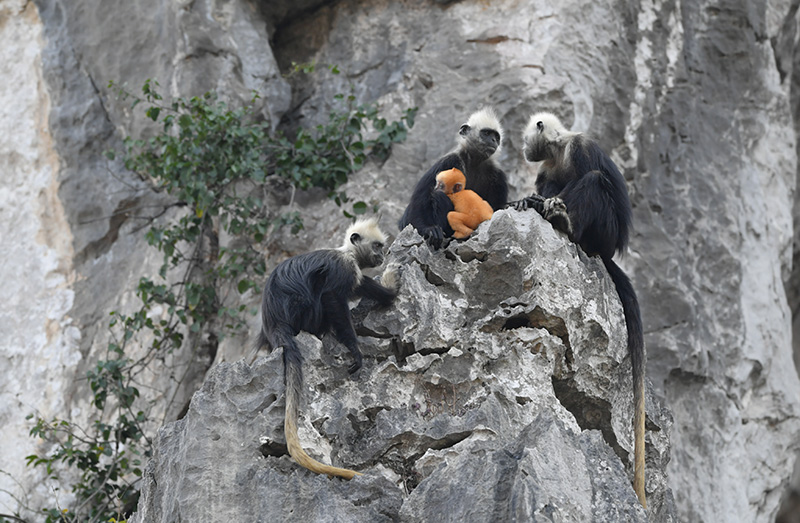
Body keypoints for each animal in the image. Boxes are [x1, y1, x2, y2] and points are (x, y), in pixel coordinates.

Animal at [256, 217, 400, 478]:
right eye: (377, 246)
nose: (382, 256)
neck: (347, 252)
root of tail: (275, 324)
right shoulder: (344, 269)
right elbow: (332, 296)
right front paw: (354, 349)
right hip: (303, 311)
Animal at [398, 107, 510, 249]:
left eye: (496, 136)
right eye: (486, 133)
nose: (494, 141)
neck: (475, 162)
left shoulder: (499, 175)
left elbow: (497, 208)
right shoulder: (448, 161)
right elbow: (419, 198)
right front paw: (429, 229)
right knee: (436, 196)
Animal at [512, 112, 648, 510]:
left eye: (527, 136)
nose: (523, 146)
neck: (558, 151)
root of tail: (606, 251)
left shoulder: (579, 148)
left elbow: (589, 175)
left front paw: (547, 207)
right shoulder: (546, 168)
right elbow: (545, 184)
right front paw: (531, 200)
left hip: (604, 233)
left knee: (593, 181)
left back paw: (565, 222)